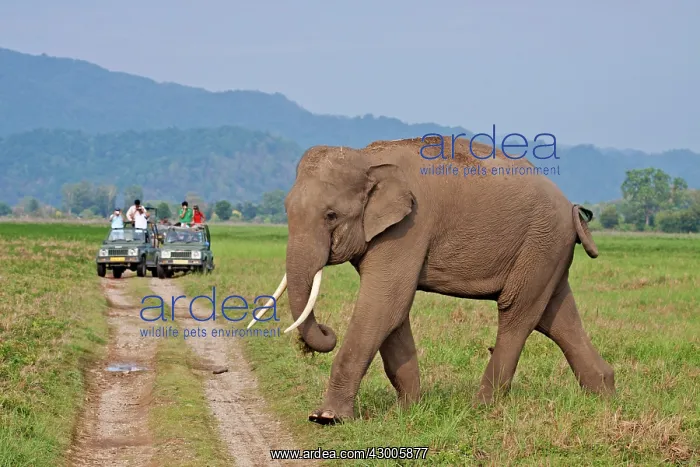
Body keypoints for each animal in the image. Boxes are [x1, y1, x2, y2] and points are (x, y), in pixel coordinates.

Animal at [248, 135, 615, 425]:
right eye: (285, 209)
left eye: (331, 215)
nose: (326, 332)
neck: (367, 158)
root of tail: (571, 207)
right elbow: (393, 313)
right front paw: (407, 412)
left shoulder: (409, 227)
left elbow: (384, 304)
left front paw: (326, 417)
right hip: (546, 250)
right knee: (555, 317)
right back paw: (604, 394)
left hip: (541, 242)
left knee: (517, 313)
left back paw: (480, 409)